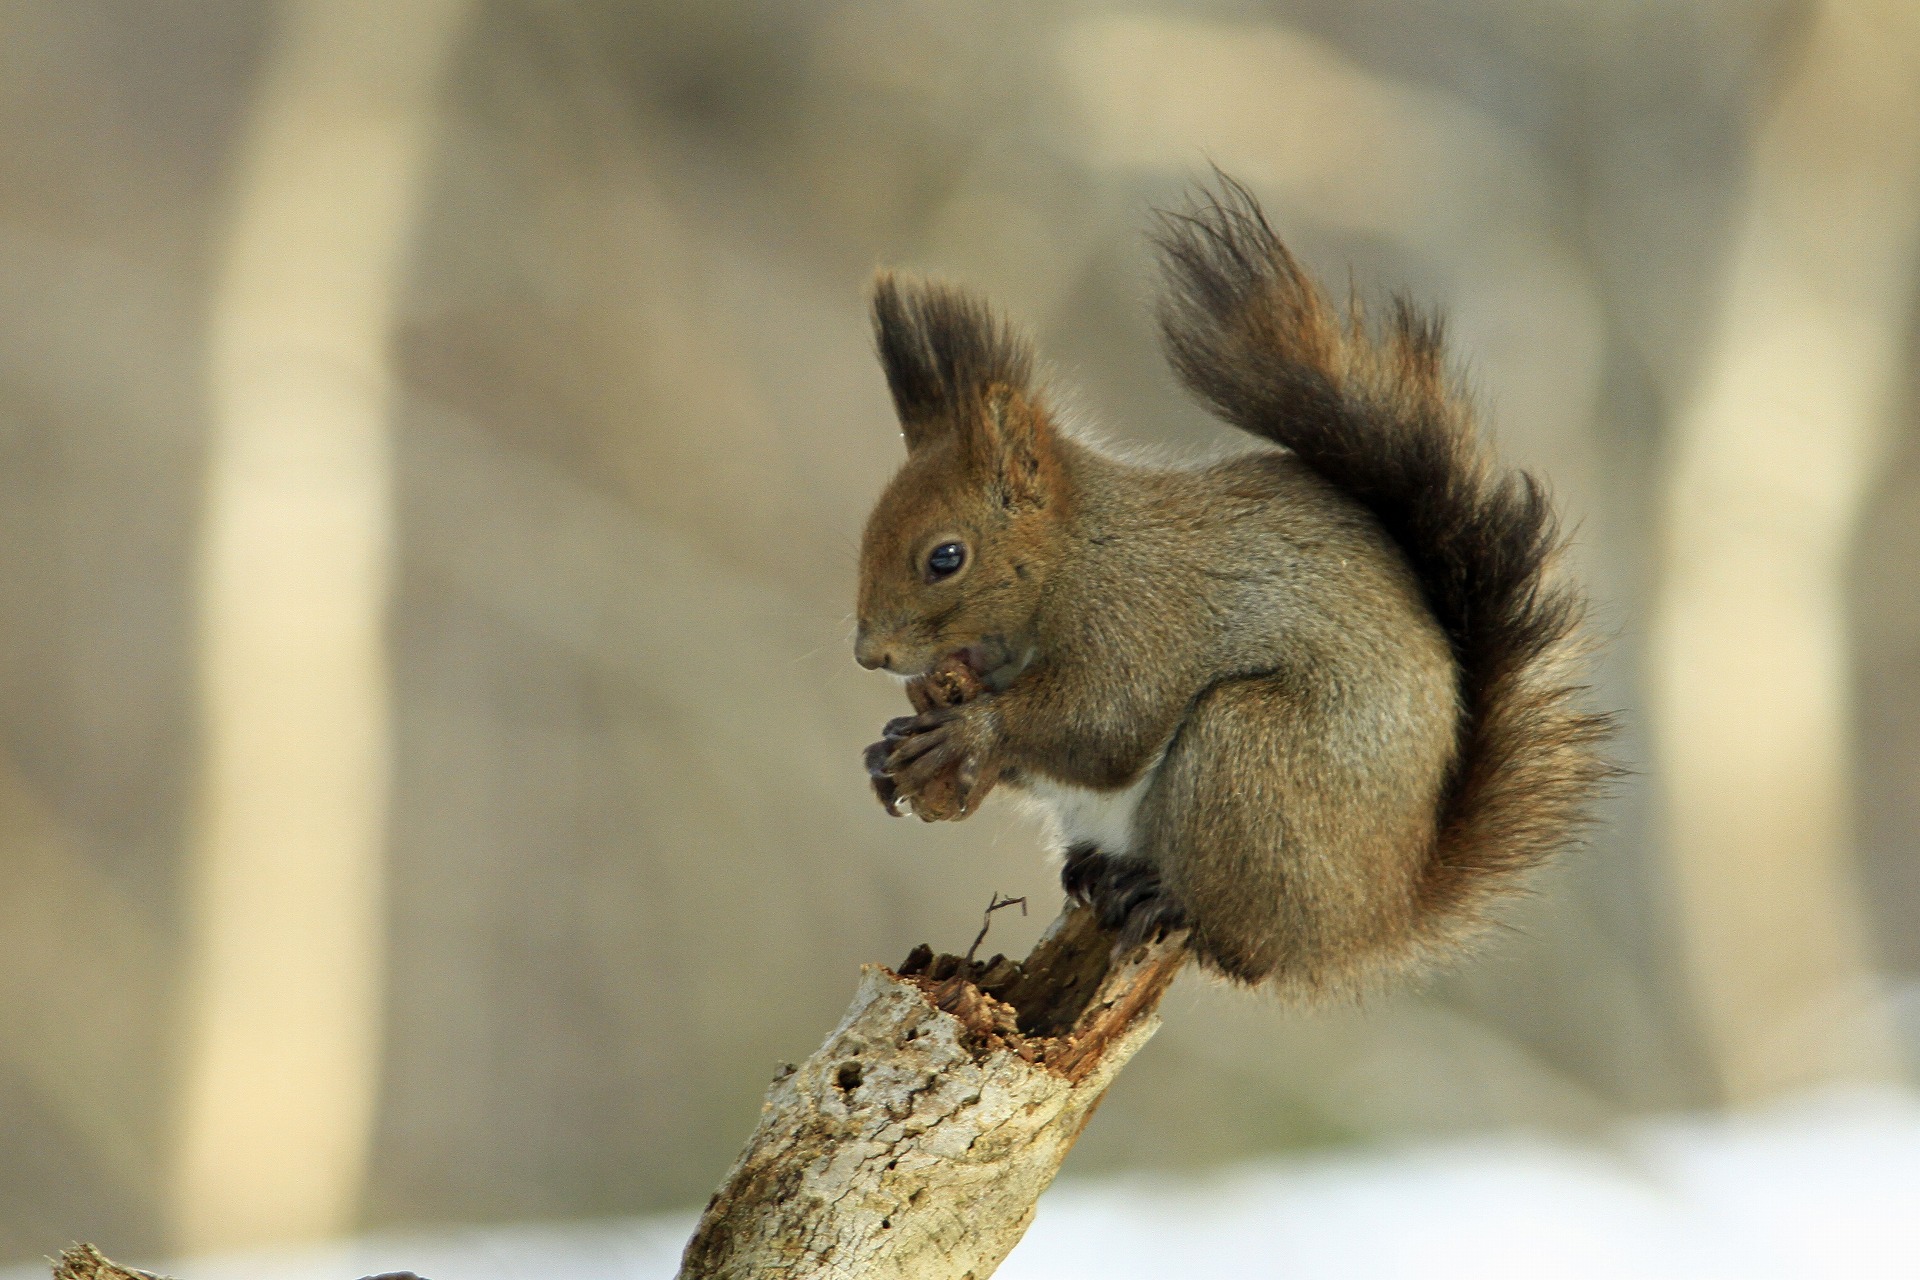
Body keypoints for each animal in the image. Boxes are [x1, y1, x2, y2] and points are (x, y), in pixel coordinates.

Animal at [848, 180, 1612, 997]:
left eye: (945, 558)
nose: (869, 654)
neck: (1075, 555)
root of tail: (1373, 919)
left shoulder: (1143, 613)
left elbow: (1105, 724)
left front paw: (970, 731)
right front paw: (891, 743)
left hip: (1248, 757)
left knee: (1239, 942)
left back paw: (1159, 896)